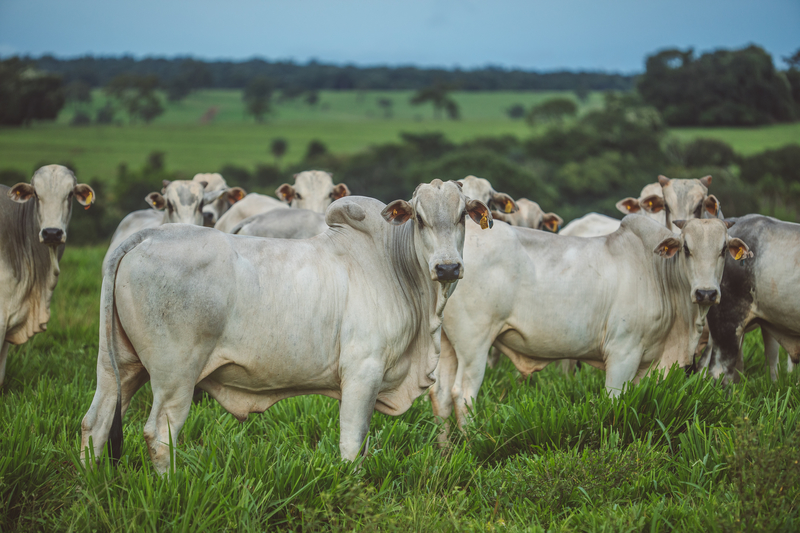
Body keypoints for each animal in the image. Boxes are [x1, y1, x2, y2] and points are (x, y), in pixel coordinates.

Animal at [83, 181, 494, 472]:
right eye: (420, 219)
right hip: (175, 375)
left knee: (96, 423)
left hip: (118, 366)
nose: (447, 268)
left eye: (462, 216)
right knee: (158, 434)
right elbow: (352, 444)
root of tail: (146, 236)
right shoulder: (363, 372)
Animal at [432, 216, 752, 428]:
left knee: (441, 396)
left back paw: (447, 450)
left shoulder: (646, 364)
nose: (706, 293)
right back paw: (473, 444)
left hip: (446, 344)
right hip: (474, 345)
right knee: (463, 395)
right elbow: (614, 402)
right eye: (686, 248)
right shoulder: (623, 353)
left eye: (723, 249)